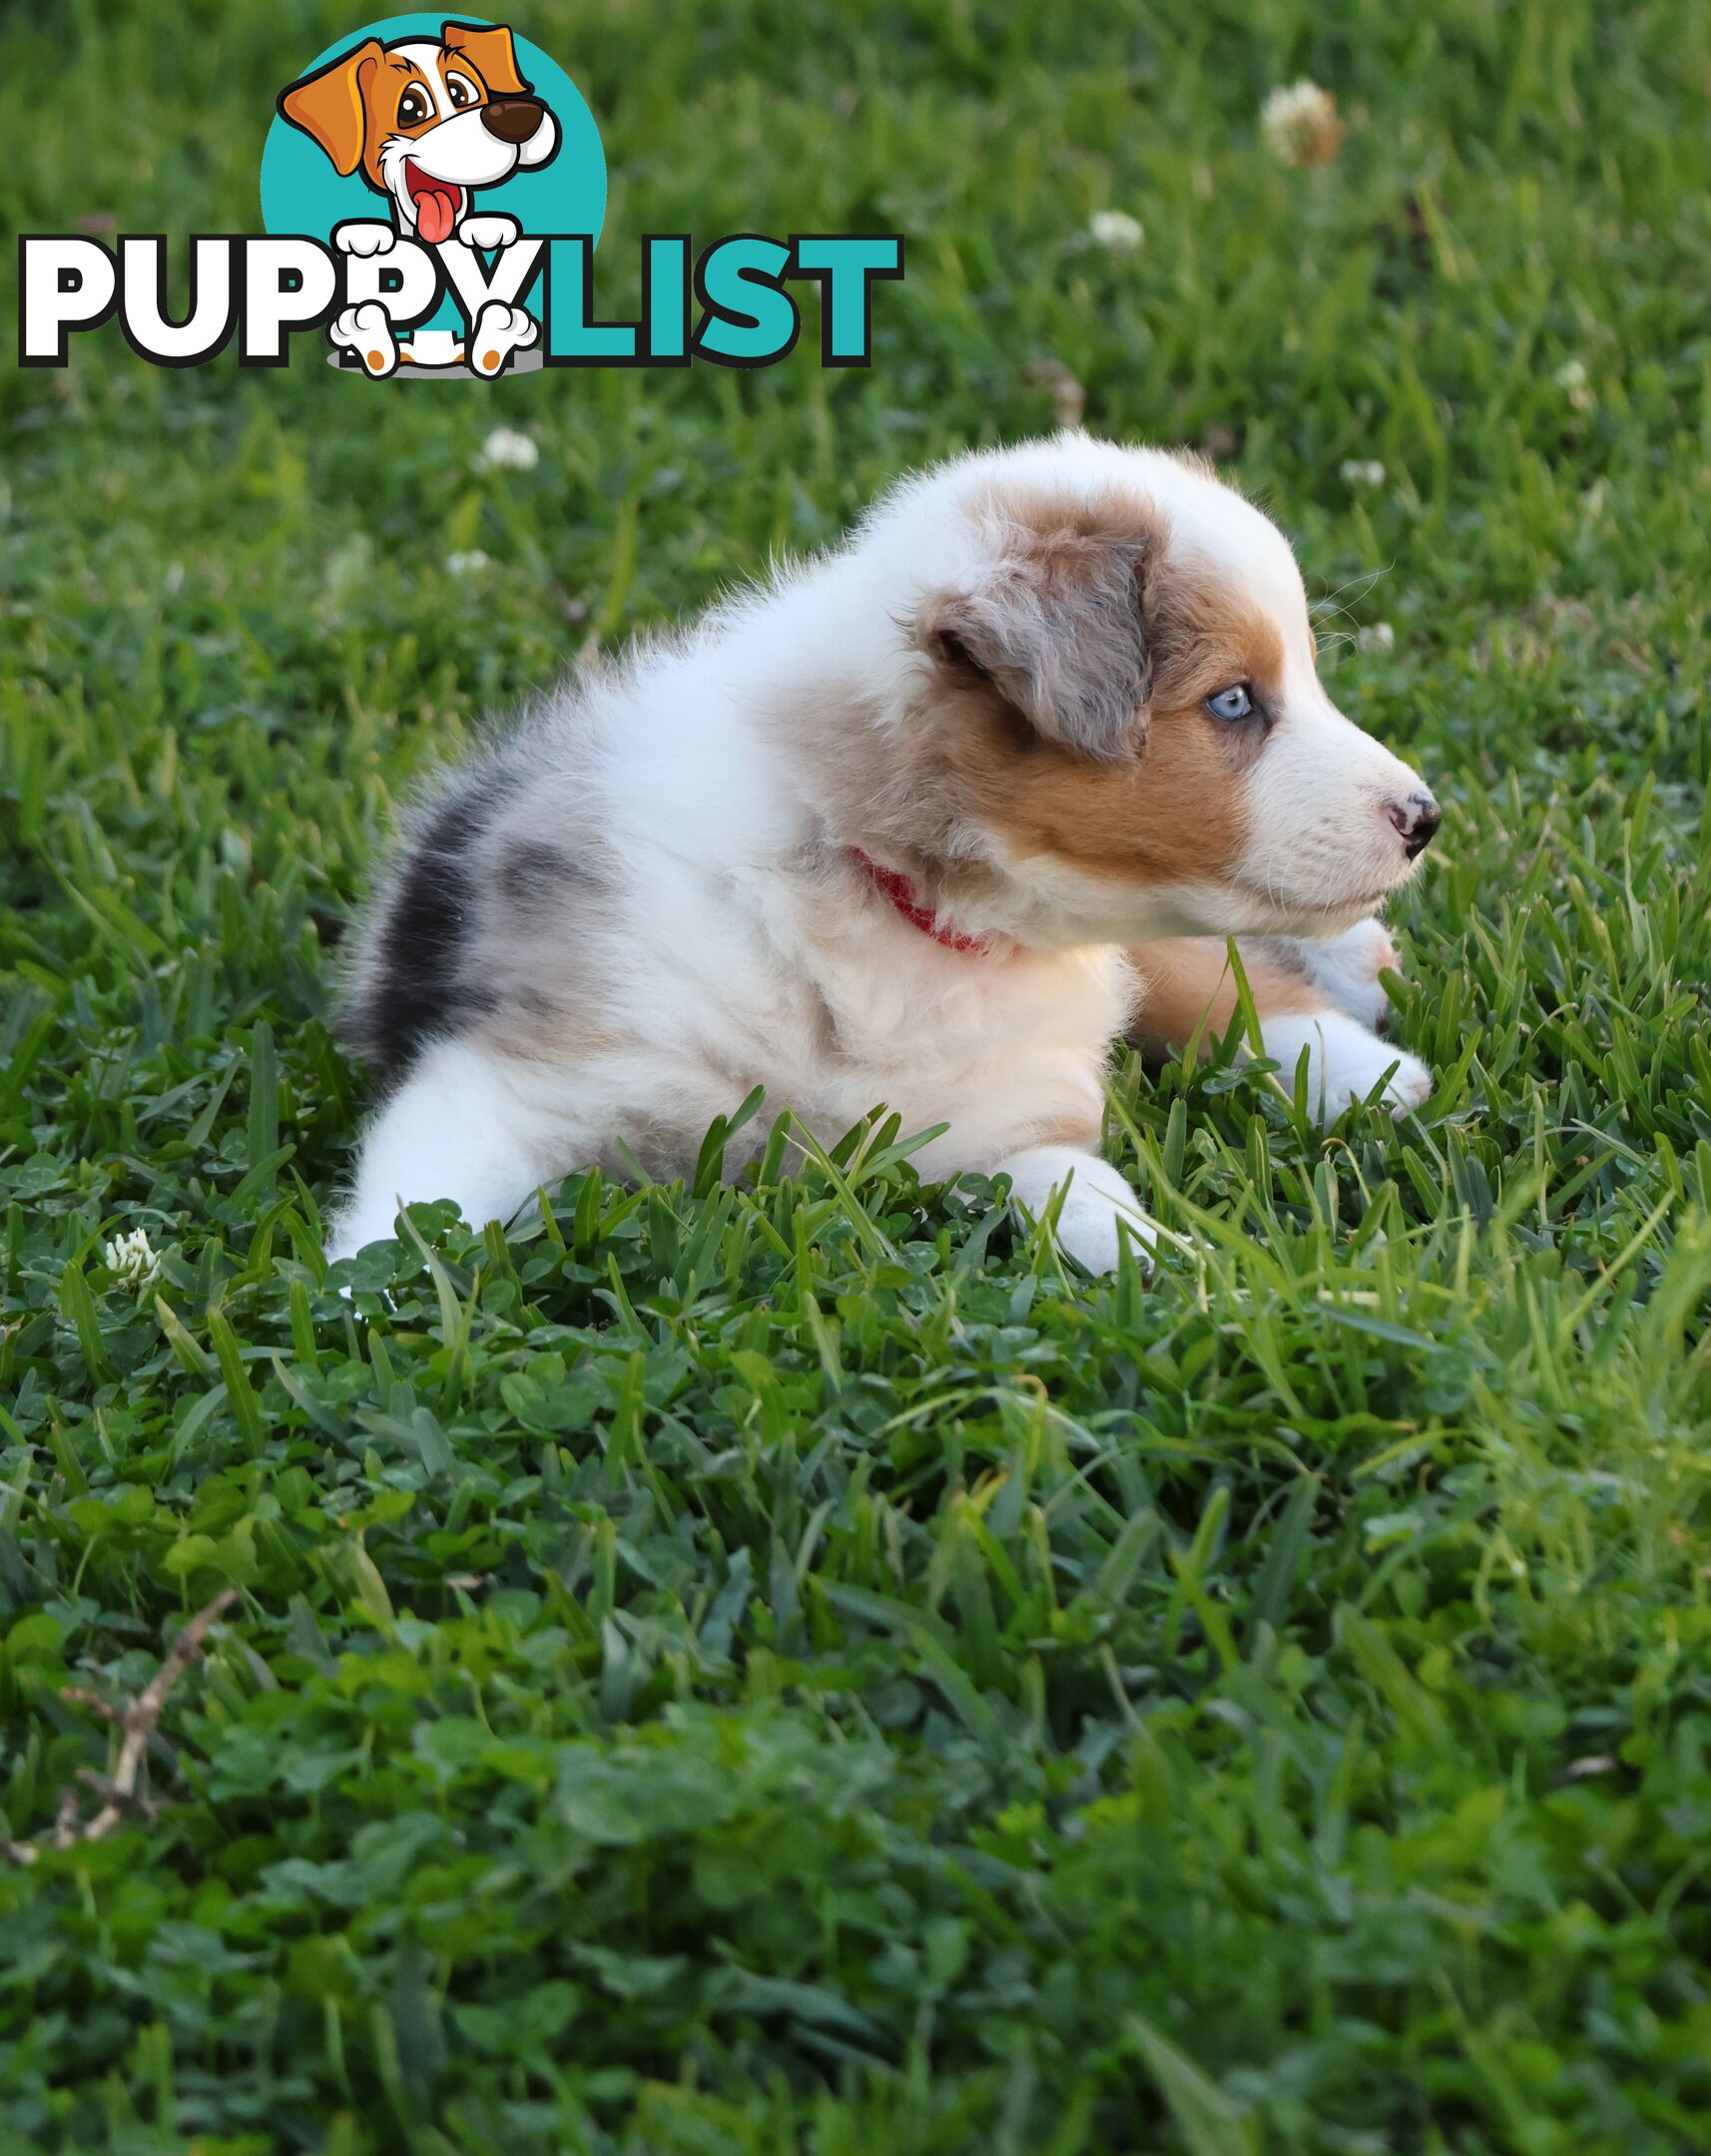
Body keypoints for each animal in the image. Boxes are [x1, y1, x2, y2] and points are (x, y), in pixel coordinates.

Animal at [327, 439, 1430, 1276]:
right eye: (1235, 702)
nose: (1426, 817)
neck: (873, 882)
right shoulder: (518, 1076)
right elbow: (405, 1224)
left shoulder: (1007, 1119)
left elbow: (1087, 1190)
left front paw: (1178, 1267)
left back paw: (1365, 1064)